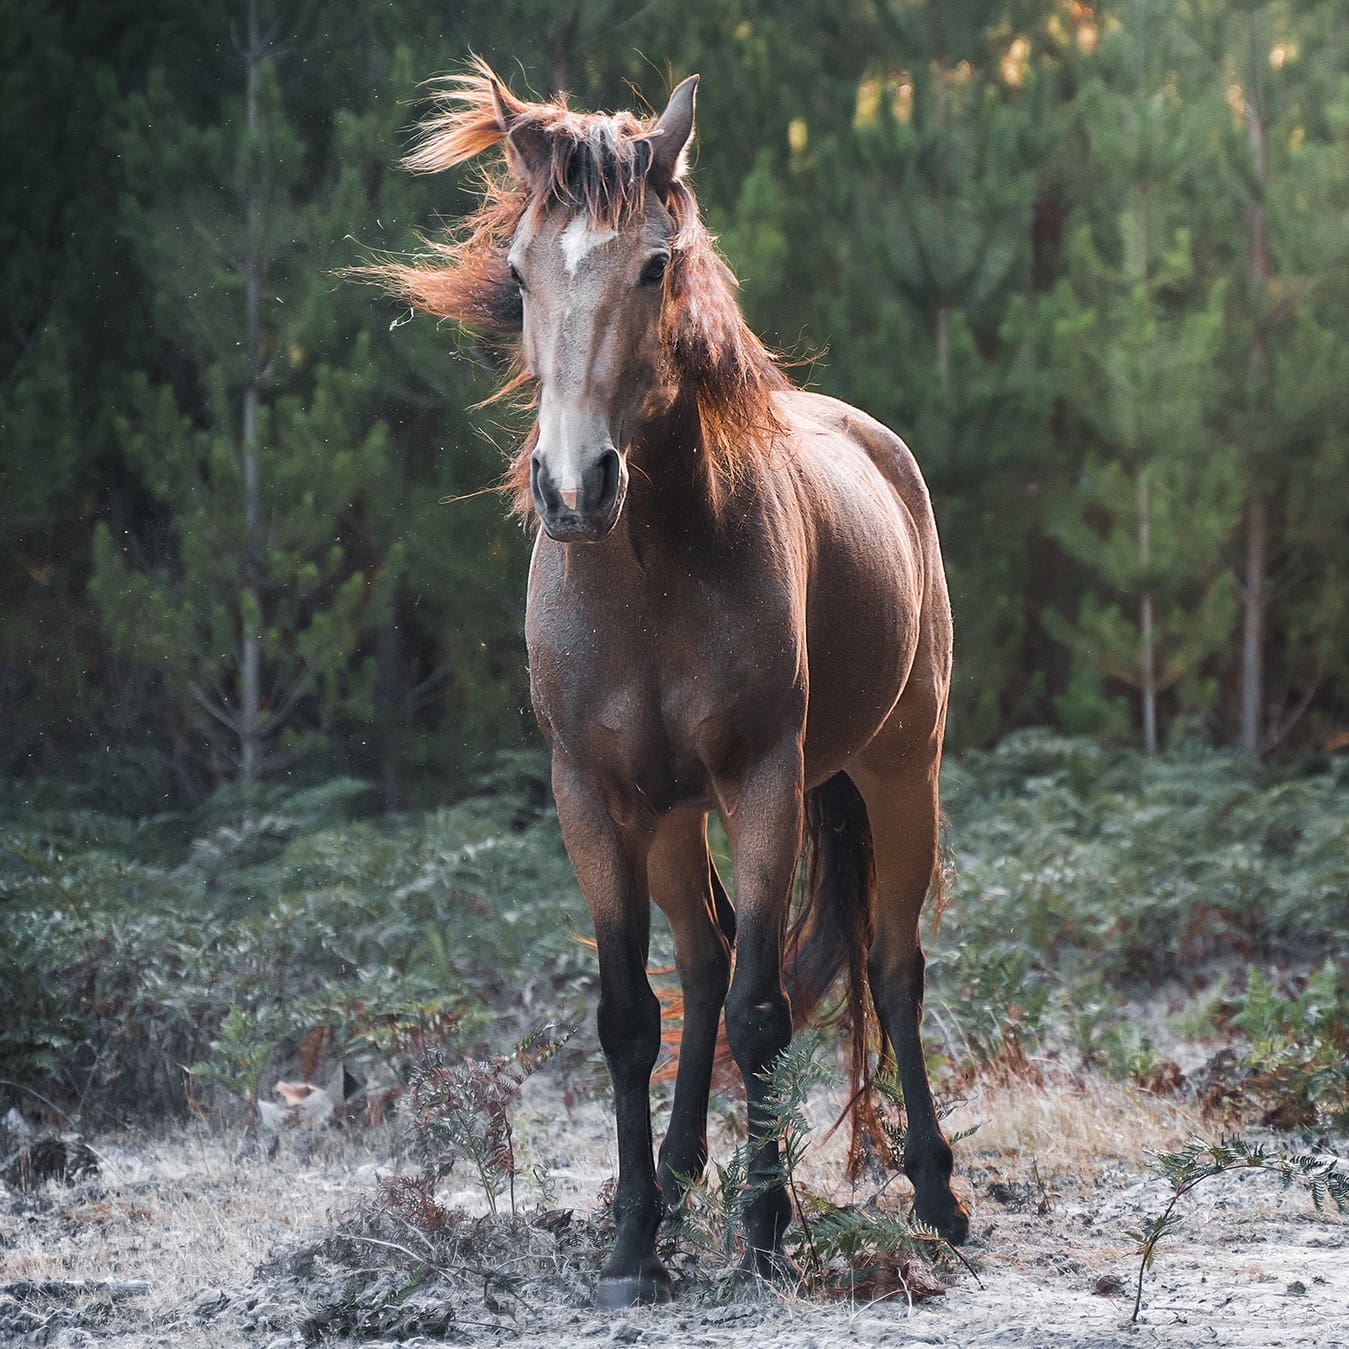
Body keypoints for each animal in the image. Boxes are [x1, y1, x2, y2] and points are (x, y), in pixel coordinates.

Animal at [372, 60, 971, 1305]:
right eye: (517, 273)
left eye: (654, 263)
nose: (571, 487)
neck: (648, 573)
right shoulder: (595, 797)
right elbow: (628, 1014)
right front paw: (634, 1238)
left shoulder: (762, 783)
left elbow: (761, 1006)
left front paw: (766, 1230)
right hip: (670, 812)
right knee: (696, 964)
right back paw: (684, 1166)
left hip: (902, 769)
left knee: (890, 968)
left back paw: (936, 1193)